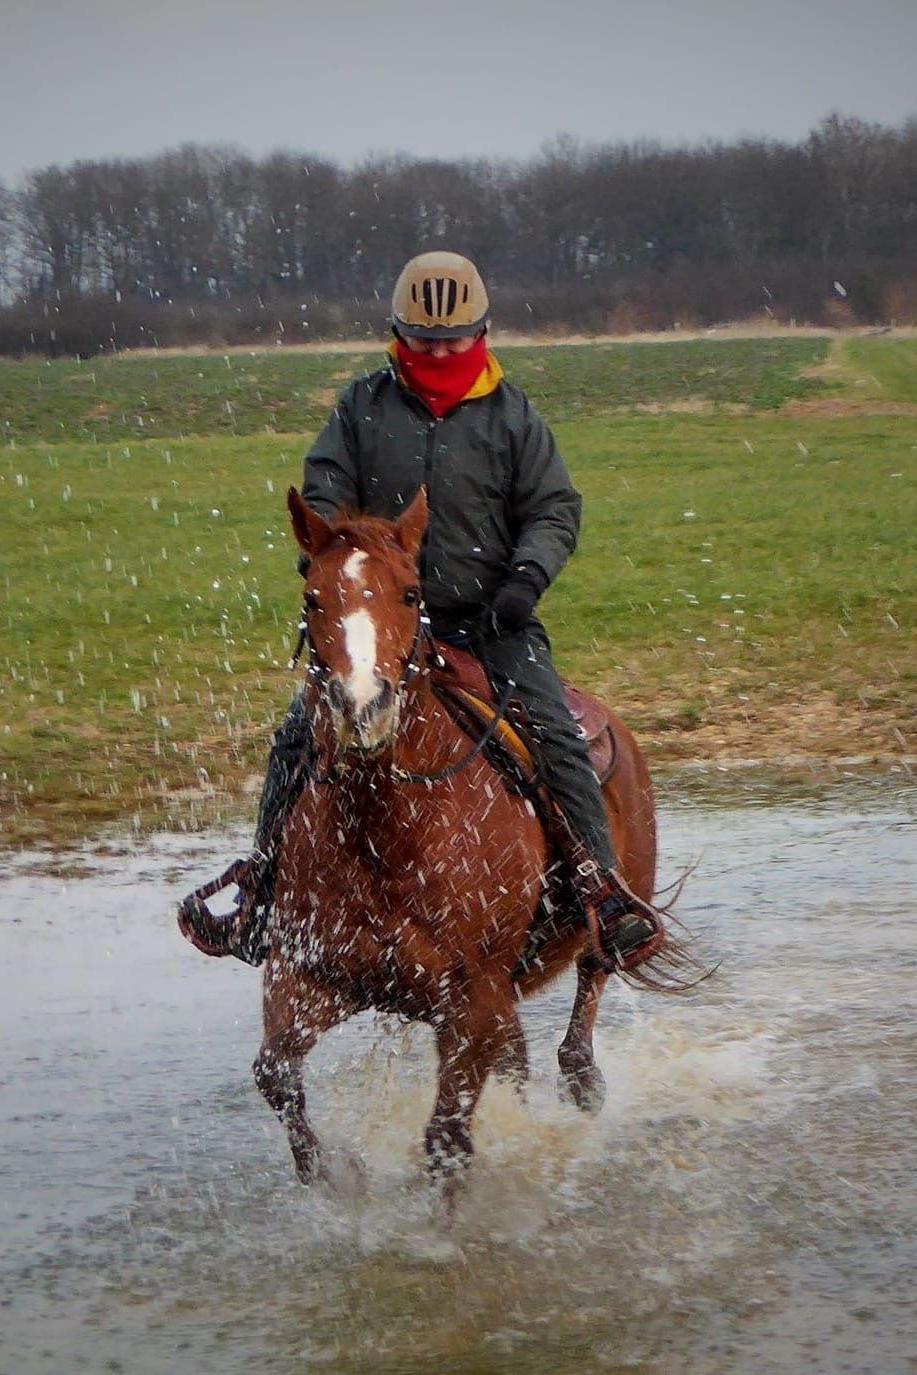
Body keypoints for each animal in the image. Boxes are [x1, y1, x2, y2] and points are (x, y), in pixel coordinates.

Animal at [252, 489, 659, 1188]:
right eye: (312, 597)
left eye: (412, 593)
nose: (364, 707)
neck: (388, 836)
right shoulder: (310, 974)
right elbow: (275, 1074)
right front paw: (332, 1177)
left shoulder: (472, 1002)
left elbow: (446, 1139)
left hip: (606, 920)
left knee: (584, 1010)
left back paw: (584, 1079)